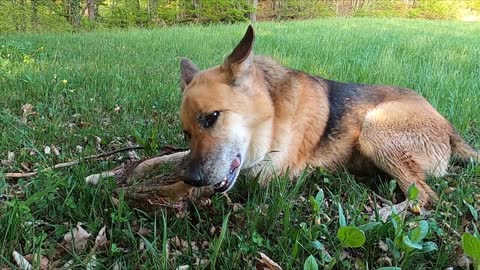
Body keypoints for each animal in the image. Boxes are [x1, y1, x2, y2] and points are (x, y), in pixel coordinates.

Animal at [178, 25, 478, 207]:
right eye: (186, 133)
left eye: (212, 117)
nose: (192, 178)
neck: (272, 115)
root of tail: (448, 126)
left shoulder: (263, 179)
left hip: (374, 129)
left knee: (424, 197)